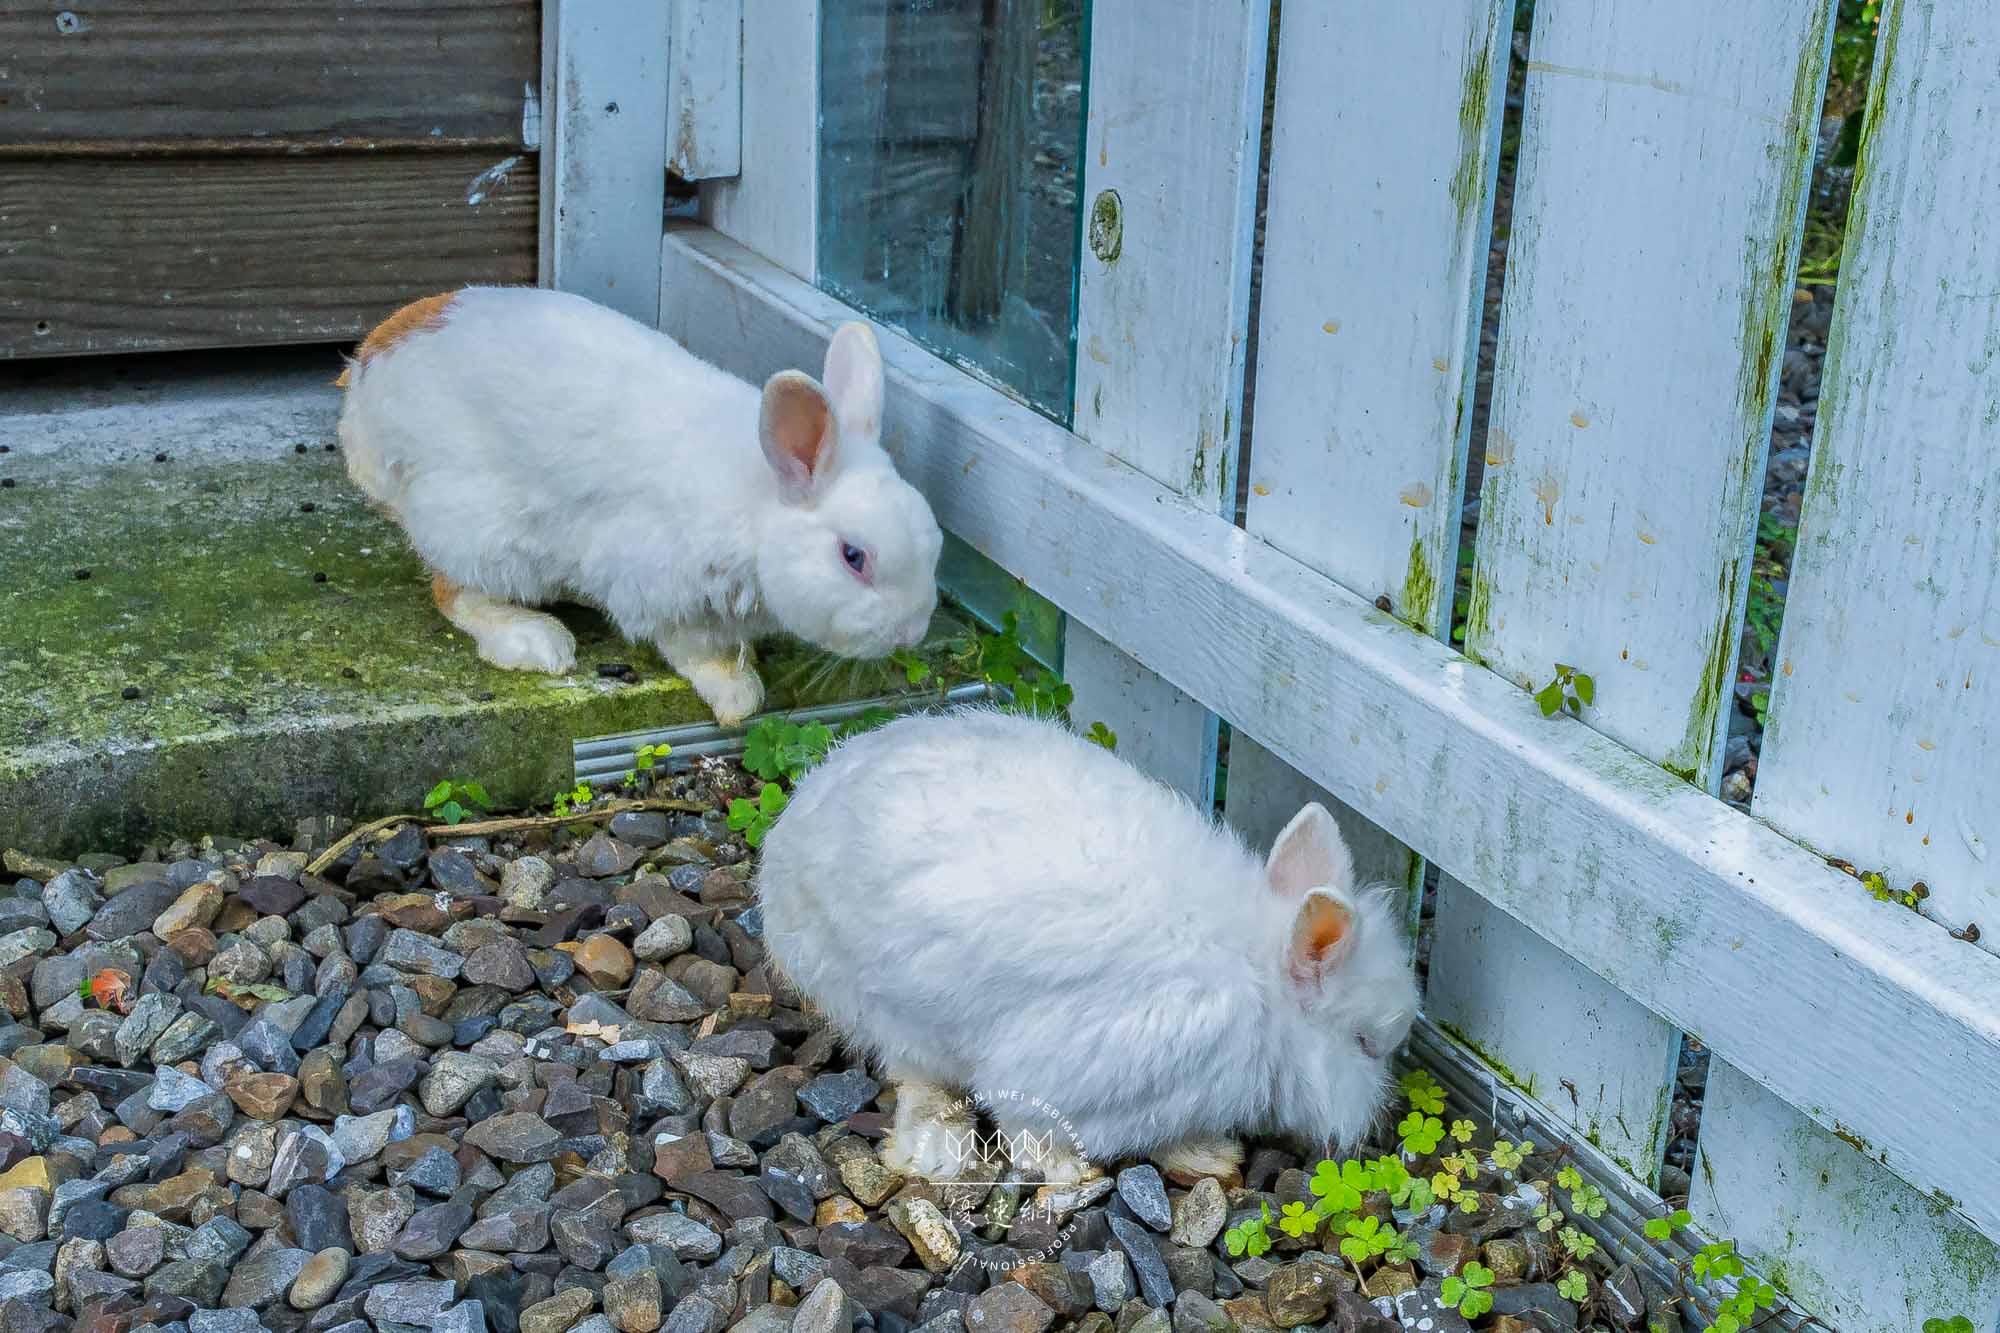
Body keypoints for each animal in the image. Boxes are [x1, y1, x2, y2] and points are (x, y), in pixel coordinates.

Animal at [338, 290, 944, 720]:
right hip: (480, 529)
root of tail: (366, 384)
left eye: (935, 542)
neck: (759, 508)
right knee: (454, 593)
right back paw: (535, 640)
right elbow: (694, 648)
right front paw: (736, 695)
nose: (911, 634)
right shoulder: (658, 585)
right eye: (853, 557)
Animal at [752, 712, 1424, 1176]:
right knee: (915, 1075)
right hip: (883, 1004)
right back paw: (936, 1153)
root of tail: (787, 844)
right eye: (1364, 1044)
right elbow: (1033, 1125)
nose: (1382, 1124)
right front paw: (1090, 1169)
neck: (1262, 983)